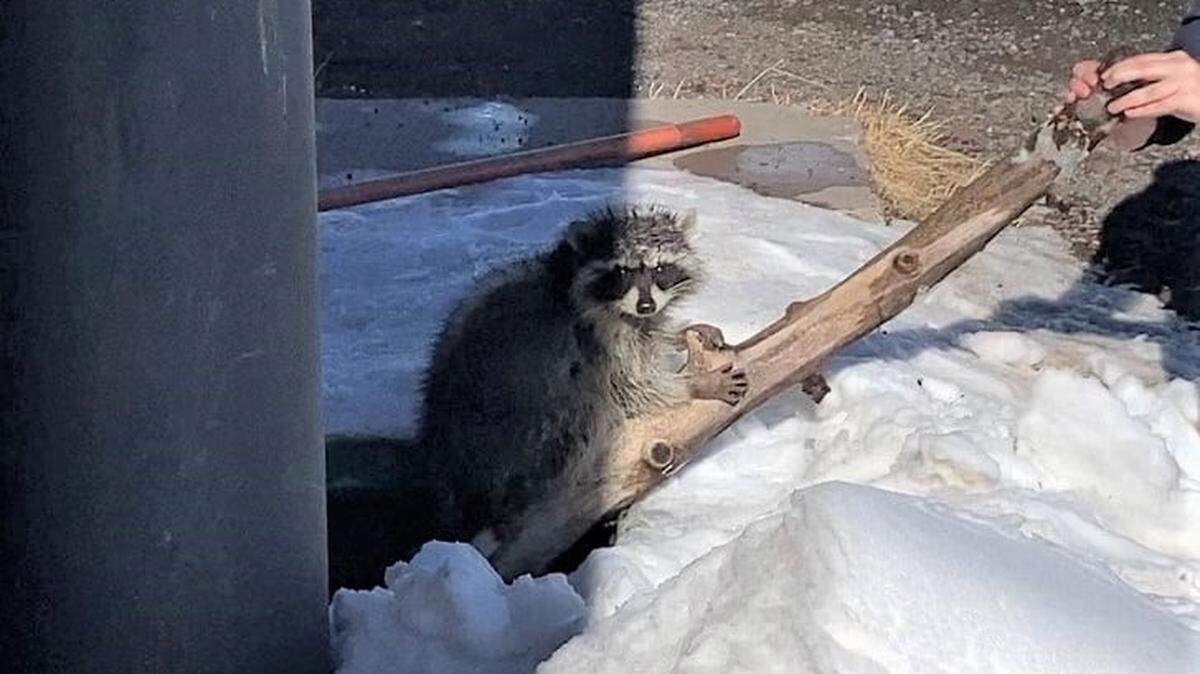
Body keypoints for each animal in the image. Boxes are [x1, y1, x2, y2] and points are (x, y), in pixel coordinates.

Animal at [414, 206, 747, 560]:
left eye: (659, 268)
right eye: (622, 271)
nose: (646, 306)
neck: (566, 276)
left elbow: (651, 337)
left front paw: (679, 334)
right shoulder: (597, 339)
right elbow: (633, 387)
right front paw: (696, 383)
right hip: (526, 438)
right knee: (581, 411)